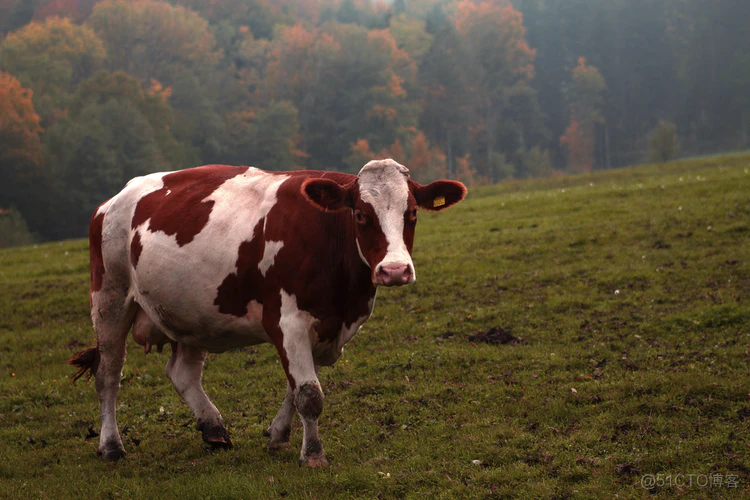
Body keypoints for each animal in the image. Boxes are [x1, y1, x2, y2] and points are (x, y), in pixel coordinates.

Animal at [72, 158, 470, 466]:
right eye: (360, 214)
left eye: (412, 213)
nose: (395, 271)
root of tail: (113, 200)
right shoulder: (287, 320)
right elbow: (309, 394)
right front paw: (313, 454)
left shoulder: (327, 326)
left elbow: (296, 388)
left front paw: (278, 435)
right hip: (110, 298)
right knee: (108, 375)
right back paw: (111, 446)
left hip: (192, 312)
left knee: (182, 373)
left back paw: (214, 429)